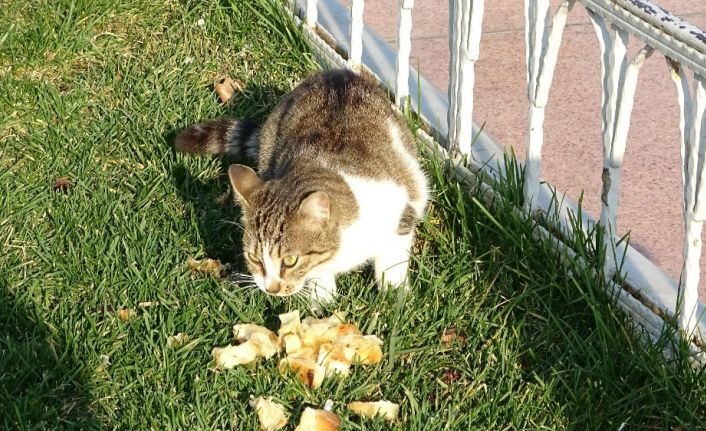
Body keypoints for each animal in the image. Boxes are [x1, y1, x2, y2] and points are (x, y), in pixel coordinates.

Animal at [176, 68, 428, 308]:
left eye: (290, 260)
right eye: (255, 259)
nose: (271, 288)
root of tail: (336, 73)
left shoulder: (403, 205)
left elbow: (393, 254)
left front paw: (394, 291)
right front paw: (321, 297)